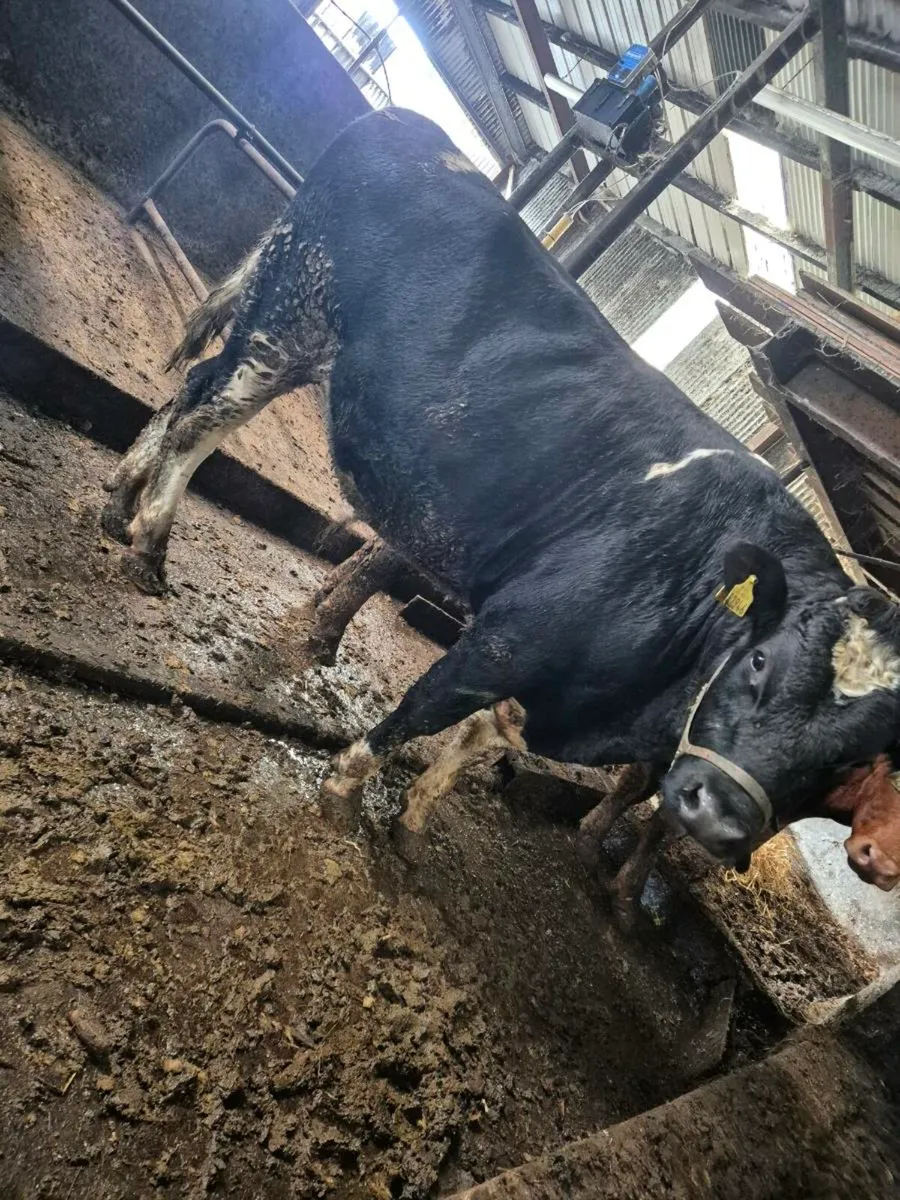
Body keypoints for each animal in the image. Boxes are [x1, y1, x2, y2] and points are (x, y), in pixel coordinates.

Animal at [101, 108, 900, 880]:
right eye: (762, 662)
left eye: (854, 759)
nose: (717, 818)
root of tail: (407, 123)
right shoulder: (512, 634)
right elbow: (427, 711)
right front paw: (343, 791)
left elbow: (480, 738)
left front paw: (412, 823)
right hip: (289, 317)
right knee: (202, 416)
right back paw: (149, 545)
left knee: (186, 393)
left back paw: (114, 505)